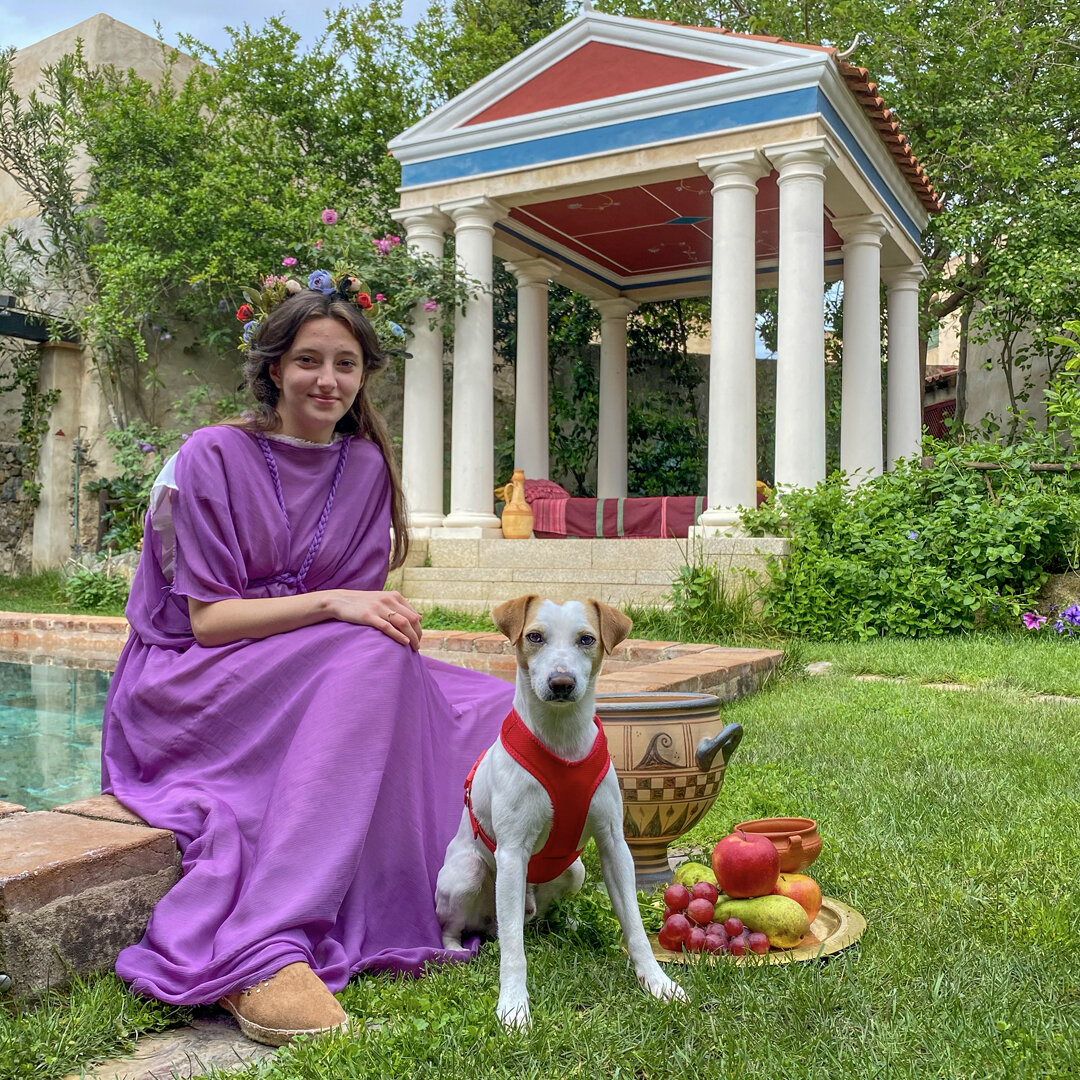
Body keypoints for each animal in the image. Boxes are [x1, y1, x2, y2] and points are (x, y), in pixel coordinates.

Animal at [432, 600, 678, 1028]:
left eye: (586, 639)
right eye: (534, 636)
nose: (561, 682)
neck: (562, 742)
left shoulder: (614, 845)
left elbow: (633, 925)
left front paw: (657, 982)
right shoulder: (512, 852)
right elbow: (514, 952)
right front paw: (513, 1005)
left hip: (574, 871)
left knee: (531, 919)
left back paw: (564, 923)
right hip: (469, 874)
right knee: (466, 927)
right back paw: (458, 950)